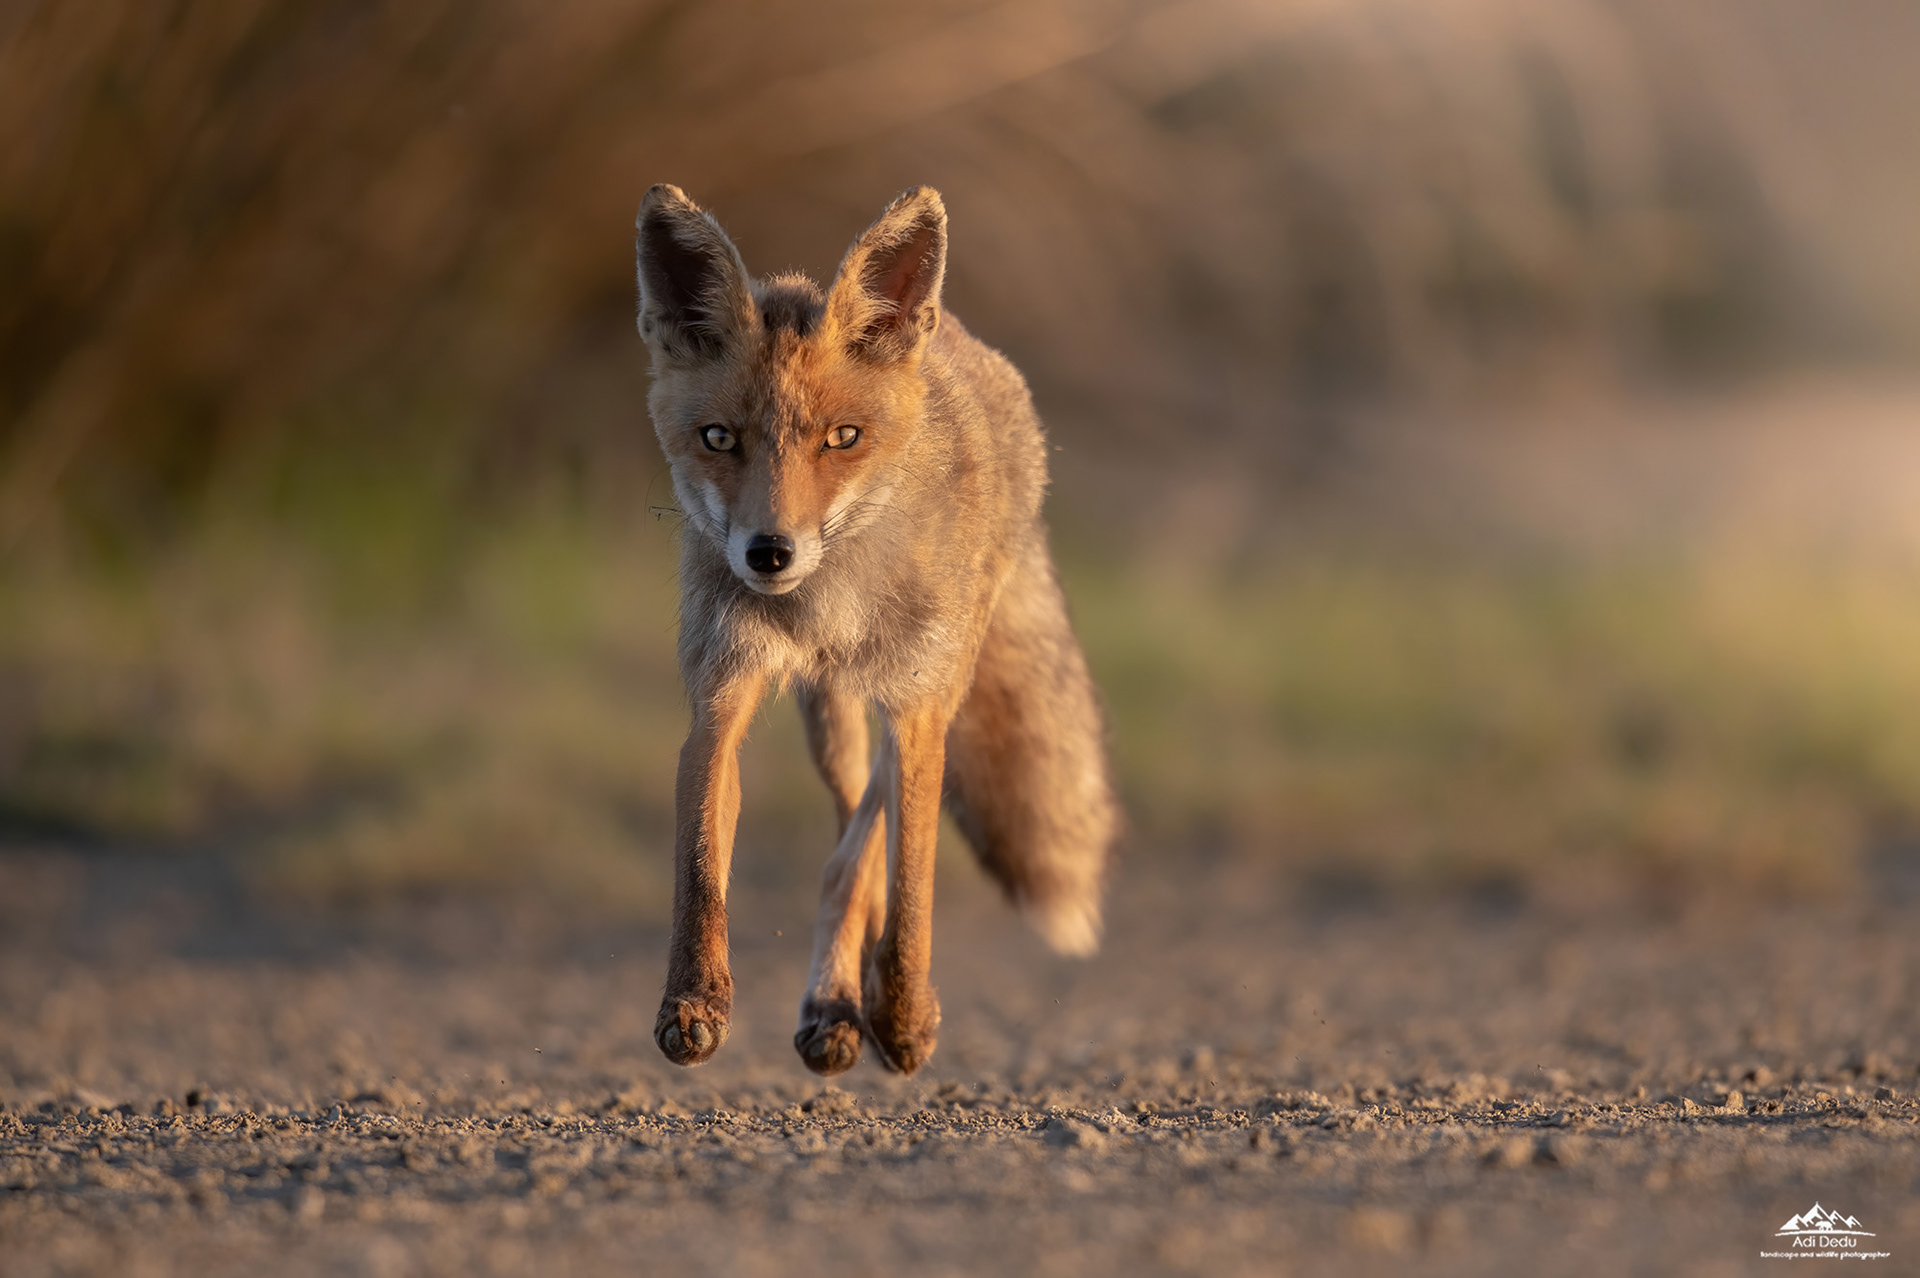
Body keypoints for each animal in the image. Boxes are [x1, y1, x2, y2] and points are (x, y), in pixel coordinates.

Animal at [634, 184, 1118, 1076]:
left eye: (843, 438)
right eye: (719, 438)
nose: (769, 552)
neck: (828, 604)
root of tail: (955, 332)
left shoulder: (920, 707)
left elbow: (907, 878)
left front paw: (901, 1014)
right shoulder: (721, 692)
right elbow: (702, 865)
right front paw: (695, 1003)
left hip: (931, 685)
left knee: (858, 843)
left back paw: (841, 1001)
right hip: (831, 720)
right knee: (848, 815)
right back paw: (833, 1002)